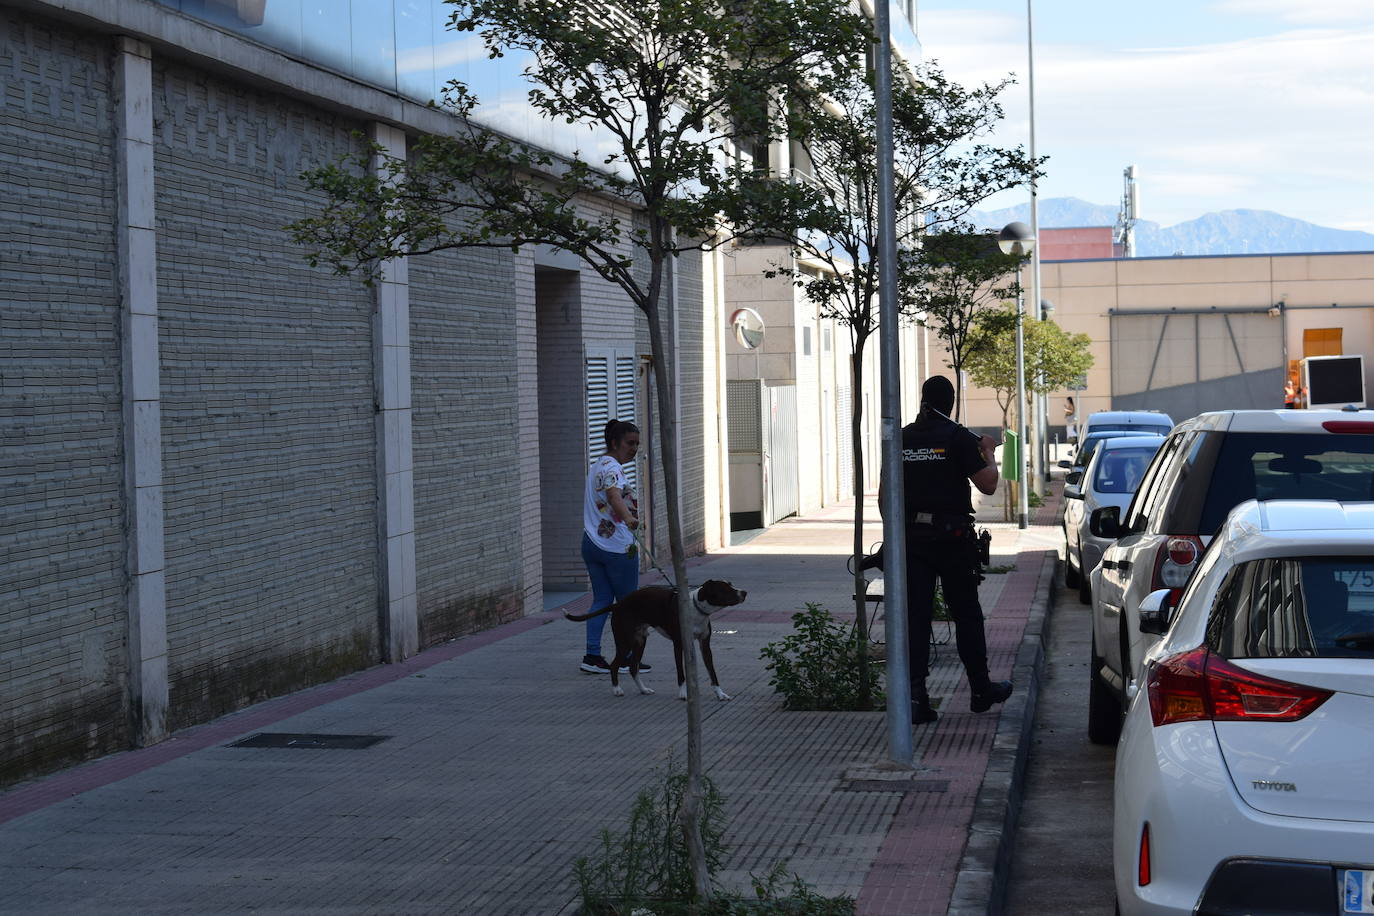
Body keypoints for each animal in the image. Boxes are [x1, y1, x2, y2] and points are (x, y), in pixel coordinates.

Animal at [563, 579, 747, 703]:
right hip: (625, 641)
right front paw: (683, 694)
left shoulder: (705, 646)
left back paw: (643, 689)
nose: (744, 592)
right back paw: (617, 690)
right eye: (725, 589)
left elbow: (712, 672)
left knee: (633, 667)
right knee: (615, 665)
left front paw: (720, 694)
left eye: (731, 585)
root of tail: (618, 604)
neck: (696, 610)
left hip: (640, 641)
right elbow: (681, 673)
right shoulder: (678, 644)